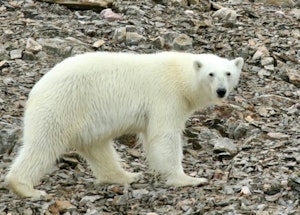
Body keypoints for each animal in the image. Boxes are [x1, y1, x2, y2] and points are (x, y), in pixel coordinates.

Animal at [4, 51, 244, 198]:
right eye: (210, 74)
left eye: (228, 73)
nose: (221, 91)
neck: (179, 75)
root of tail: (37, 88)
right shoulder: (166, 95)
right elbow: (164, 135)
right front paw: (188, 179)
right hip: (63, 105)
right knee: (44, 144)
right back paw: (26, 188)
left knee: (97, 147)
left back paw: (127, 175)